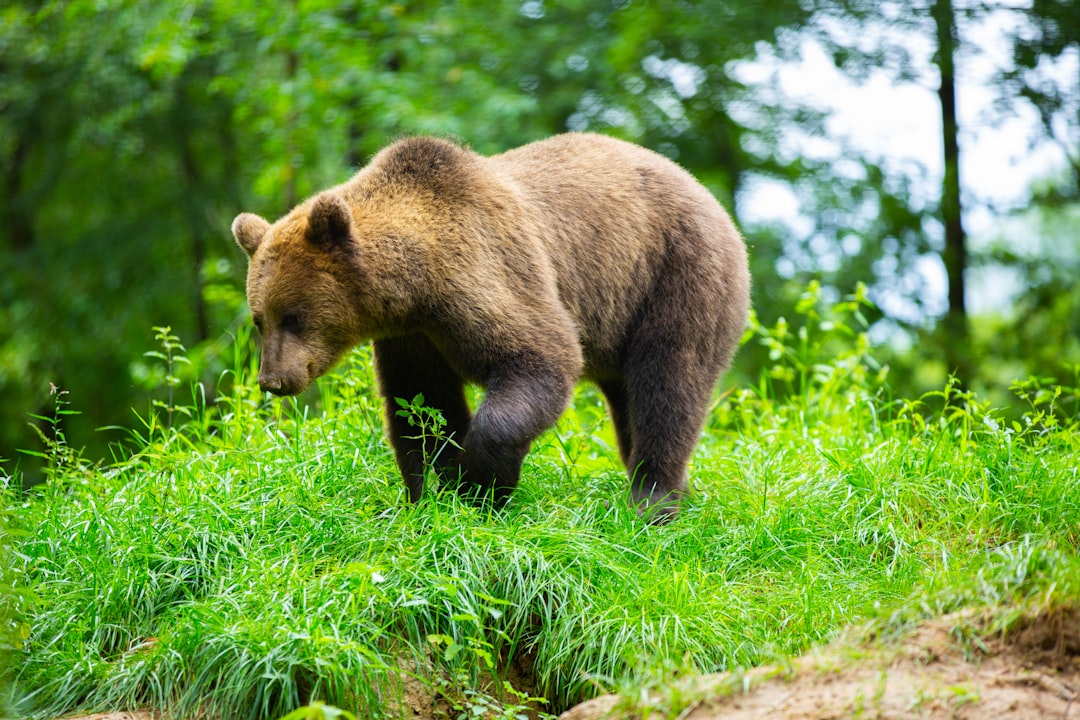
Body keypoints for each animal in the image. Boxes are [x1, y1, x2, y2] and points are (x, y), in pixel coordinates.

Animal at [232, 133, 750, 520]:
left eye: (294, 317)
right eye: (259, 319)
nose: (273, 380)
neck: (416, 286)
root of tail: (708, 195)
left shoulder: (485, 273)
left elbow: (540, 358)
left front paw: (481, 482)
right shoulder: (413, 338)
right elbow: (422, 407)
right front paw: (432, 493)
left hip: (675, 275)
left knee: (668, 384)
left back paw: (653, 498)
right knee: (630, 398)